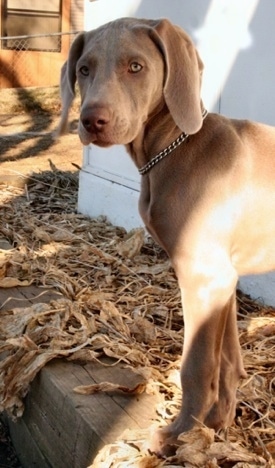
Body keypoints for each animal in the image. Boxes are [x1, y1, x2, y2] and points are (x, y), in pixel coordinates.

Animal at [57, 17, 275, 454]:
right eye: (84, 69)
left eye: (135, 67)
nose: (92, 120)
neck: (174, 146)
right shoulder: (224, 278)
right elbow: (227, 359)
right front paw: (216, 425)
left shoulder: (204, 278)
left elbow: (196, 364)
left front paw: (181, 435)